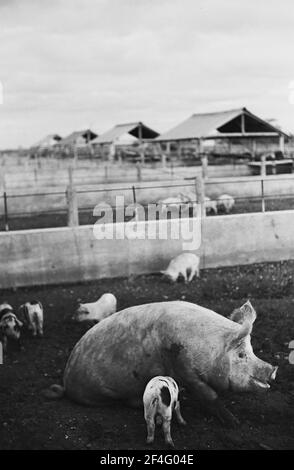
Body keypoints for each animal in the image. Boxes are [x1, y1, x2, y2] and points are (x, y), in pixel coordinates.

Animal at [47, 302, 276, 426]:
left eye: (252, 349)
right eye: (241, 354)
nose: (273, 369)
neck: (208, 348)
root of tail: (66, 382)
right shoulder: (182, 367)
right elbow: (208, 394)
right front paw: (234, 423)